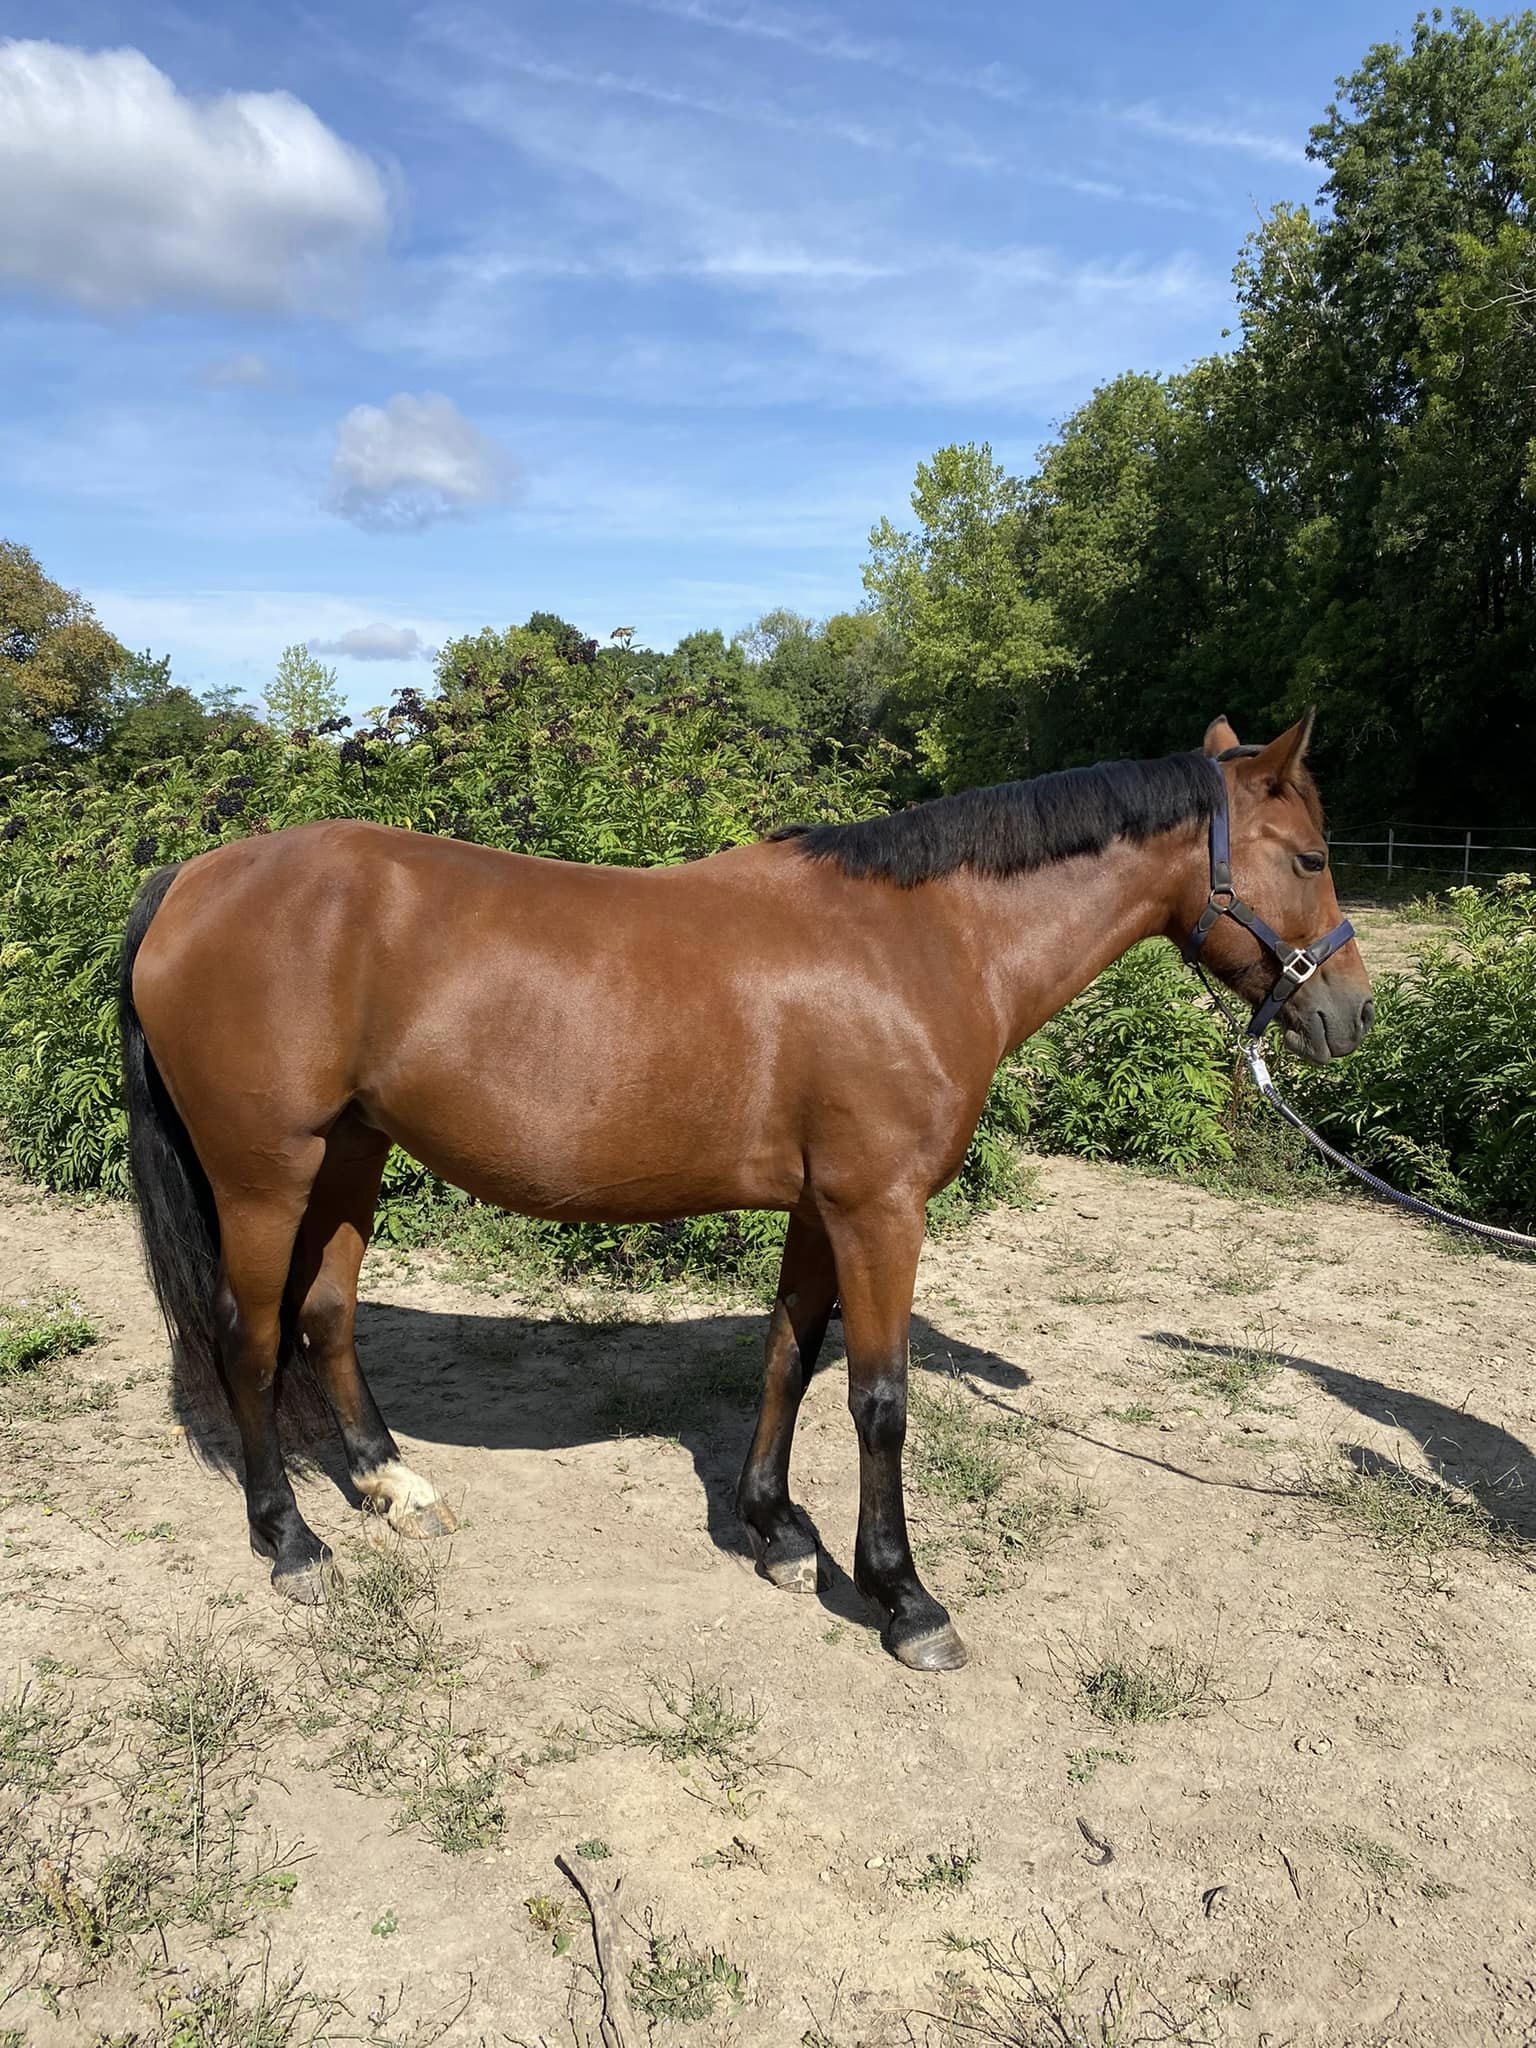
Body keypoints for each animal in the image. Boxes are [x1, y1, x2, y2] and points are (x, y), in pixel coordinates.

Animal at [117, 712, 1368, 1671]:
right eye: (1309, 856)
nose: (1348, 1014)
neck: (923, 941)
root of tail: (191, 879)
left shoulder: (824, 1206)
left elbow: (787, 1356)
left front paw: (772, 1529)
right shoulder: (880, 1208)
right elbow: (879, 1399)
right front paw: (904, 1597)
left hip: (351, 1154)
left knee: (324, 1314)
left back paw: (390, 1485)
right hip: (265, 1174)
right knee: (246, 1335)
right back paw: (290, 1539)